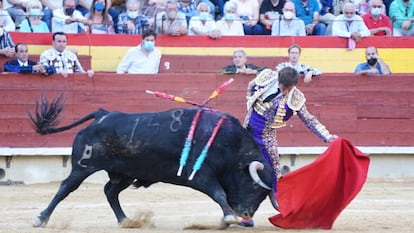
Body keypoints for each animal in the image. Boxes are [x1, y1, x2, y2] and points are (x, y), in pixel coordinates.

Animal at [28, 95, 274, 228]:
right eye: (254, 186)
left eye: (264, 194)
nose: (247, 216)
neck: (230, 144)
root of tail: (102, 114)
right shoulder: (201, 175)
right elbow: (219, 193)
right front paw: (229, 217)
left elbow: (222, 195)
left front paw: (226, 220)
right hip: (83, 166)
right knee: (65, 187)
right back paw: (40, 219)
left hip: (125, 174)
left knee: (110, 191)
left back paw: (125, 220)